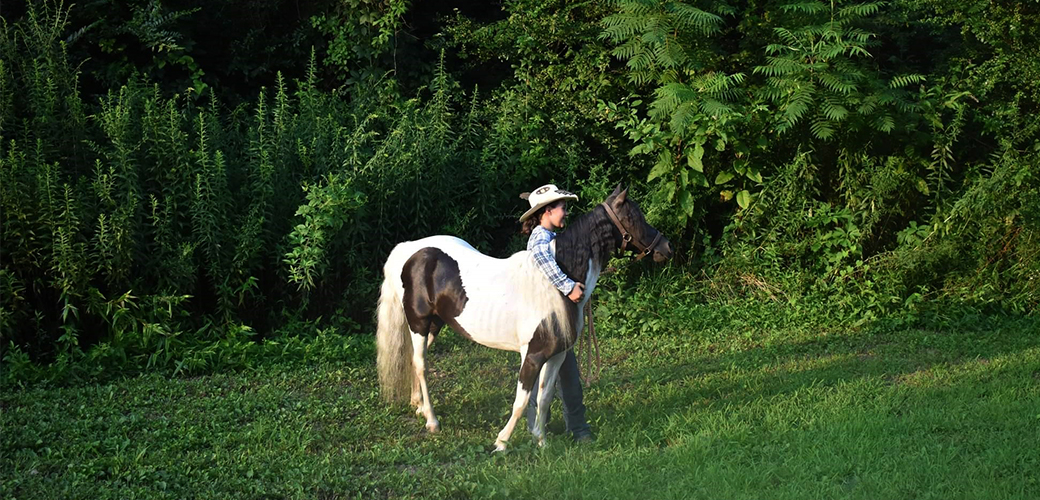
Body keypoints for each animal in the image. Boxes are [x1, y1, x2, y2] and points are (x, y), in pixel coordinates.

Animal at [374, 185, 673, 451]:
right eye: (633, 217)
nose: (666, 248)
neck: (556, 286)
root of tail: (409, 249)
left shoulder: (556, 356)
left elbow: (544, 397)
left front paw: (541, 442)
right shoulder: (532, 356)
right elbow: (521, 400)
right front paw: (502, 442)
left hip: (436, 324)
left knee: (413, 361)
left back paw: (419, 407)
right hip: (419, 323)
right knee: (421, 365)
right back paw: (432, 421)